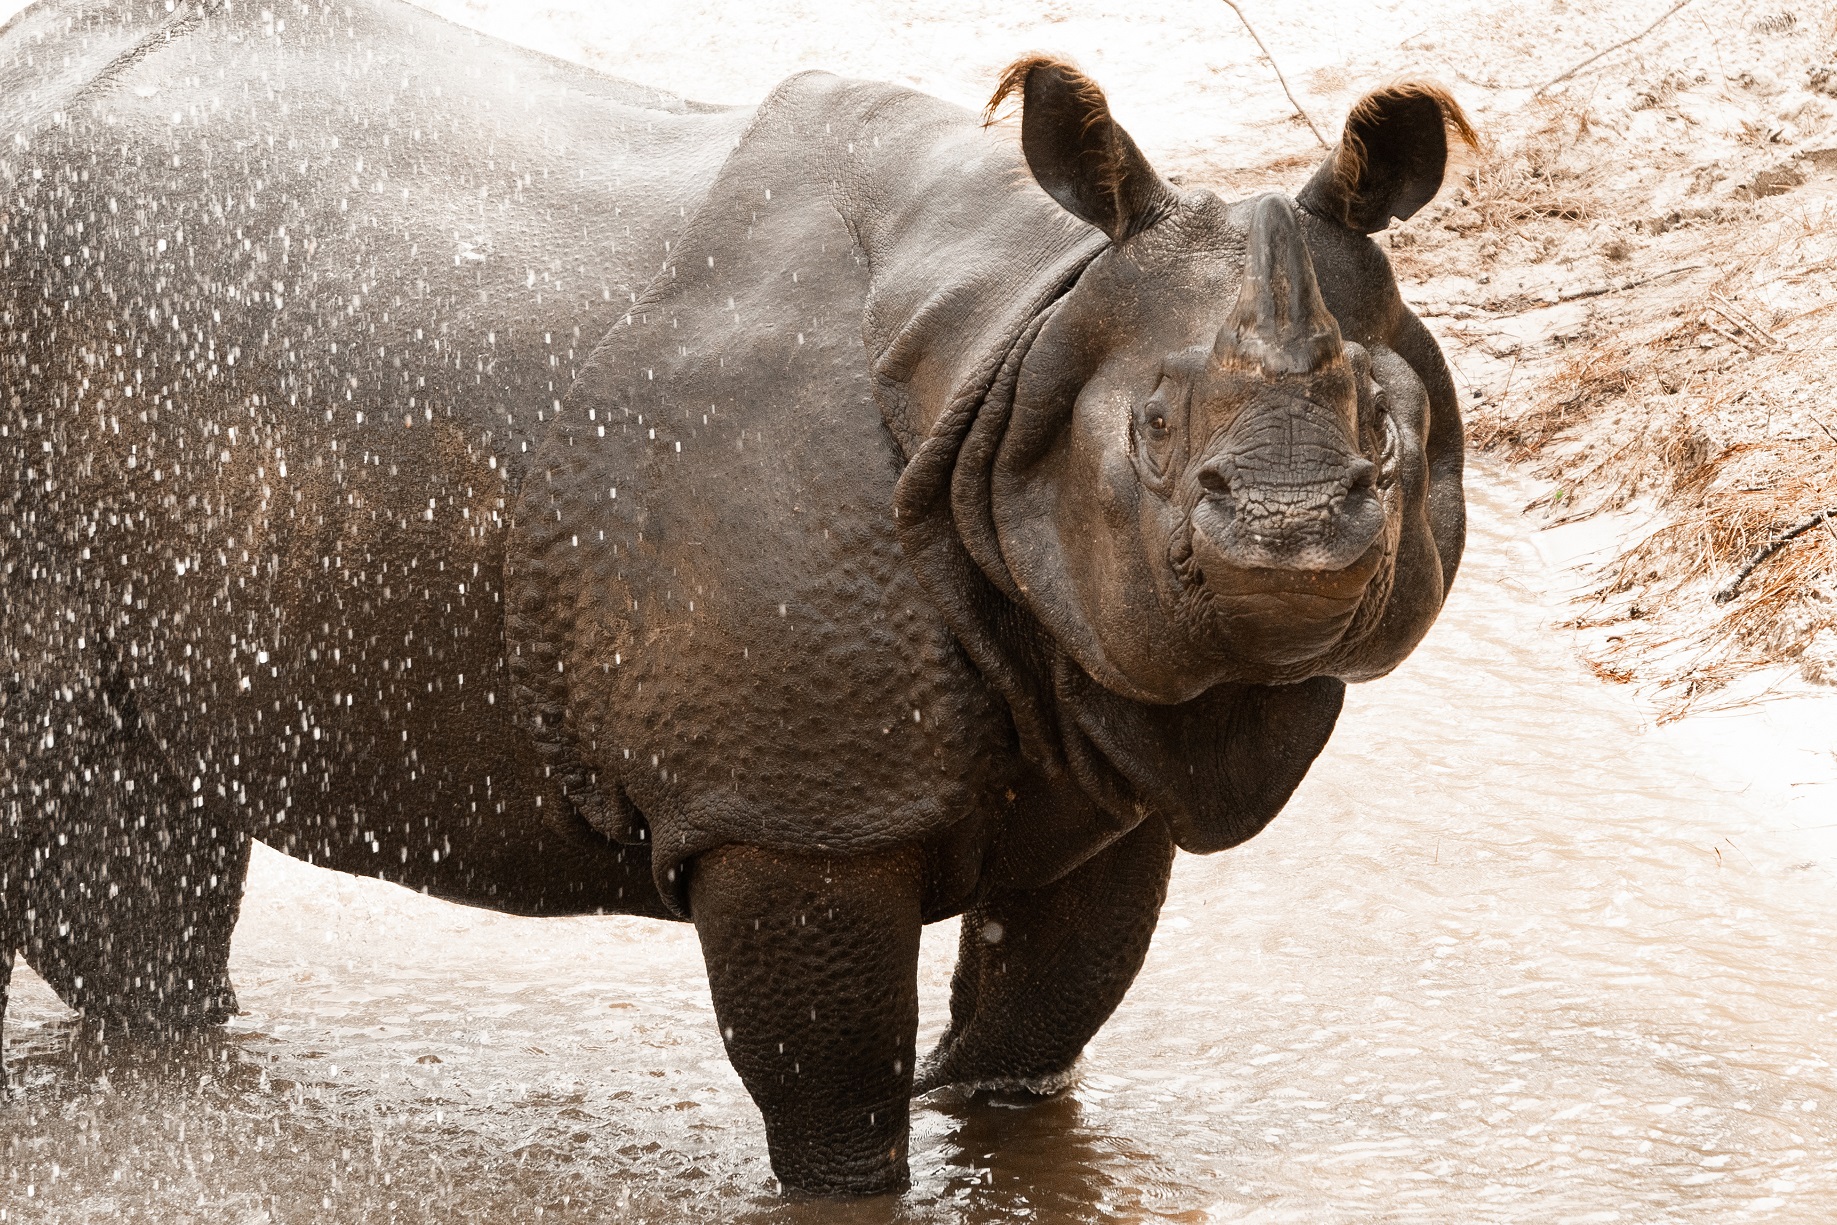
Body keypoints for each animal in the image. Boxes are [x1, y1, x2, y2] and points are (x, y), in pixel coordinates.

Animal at [0, 0, 1462, 1190]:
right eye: (1153, 435)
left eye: (1390, 433)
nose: (1292, 534)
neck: (1019, 341)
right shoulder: (792, 814)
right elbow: (831, 1091)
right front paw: (858, 1176)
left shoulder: (1102, 729)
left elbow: (1041, 1018)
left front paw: (1003, 1135)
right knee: (121, 890)